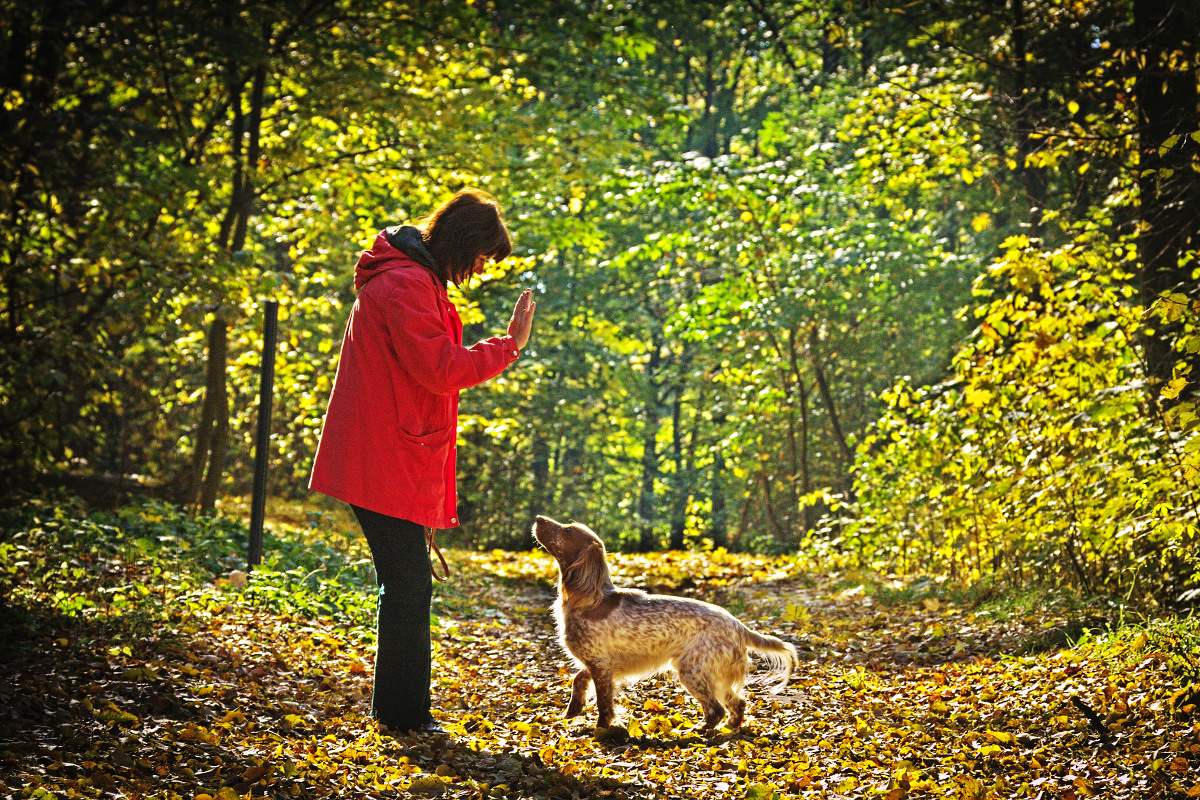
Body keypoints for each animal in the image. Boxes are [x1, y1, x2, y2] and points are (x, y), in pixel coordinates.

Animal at [532, 515, 796, 734]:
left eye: (567, 531)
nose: (537, 518)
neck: (590, 597)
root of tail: (740, 627)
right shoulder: (602, 663)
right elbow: (579, 678)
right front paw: (573, 708)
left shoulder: (600, 664)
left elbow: (604, 704)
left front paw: (600, 729)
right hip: (713, 674)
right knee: (737, 704)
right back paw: (729, 728)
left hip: (692, 671)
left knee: (716, 710)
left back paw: (697, 730)